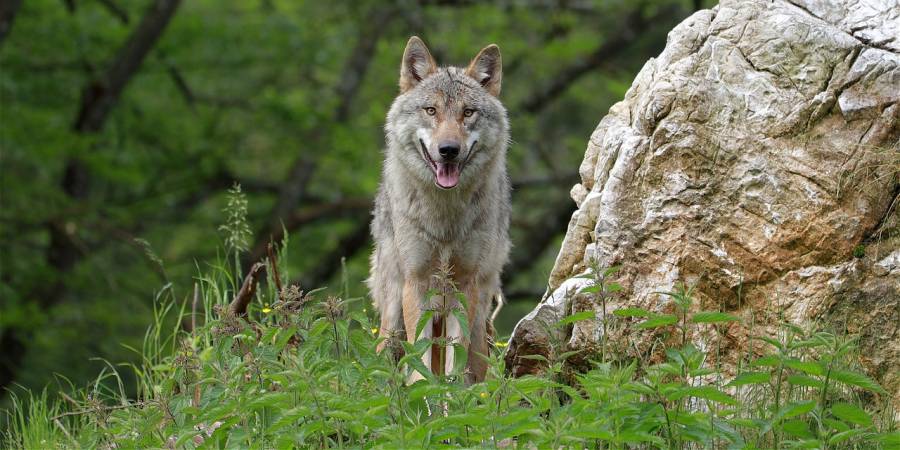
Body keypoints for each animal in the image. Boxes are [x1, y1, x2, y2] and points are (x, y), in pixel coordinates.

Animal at [366, 36, 506, 384]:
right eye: (431, 110)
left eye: (468, 112)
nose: (448, 150)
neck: (445, 219)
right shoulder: (416, 284)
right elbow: (420, 360)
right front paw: (425, 396)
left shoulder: (464, 286)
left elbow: (456, 360)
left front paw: (451, 398)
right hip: (392, 316)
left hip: (481, 317)